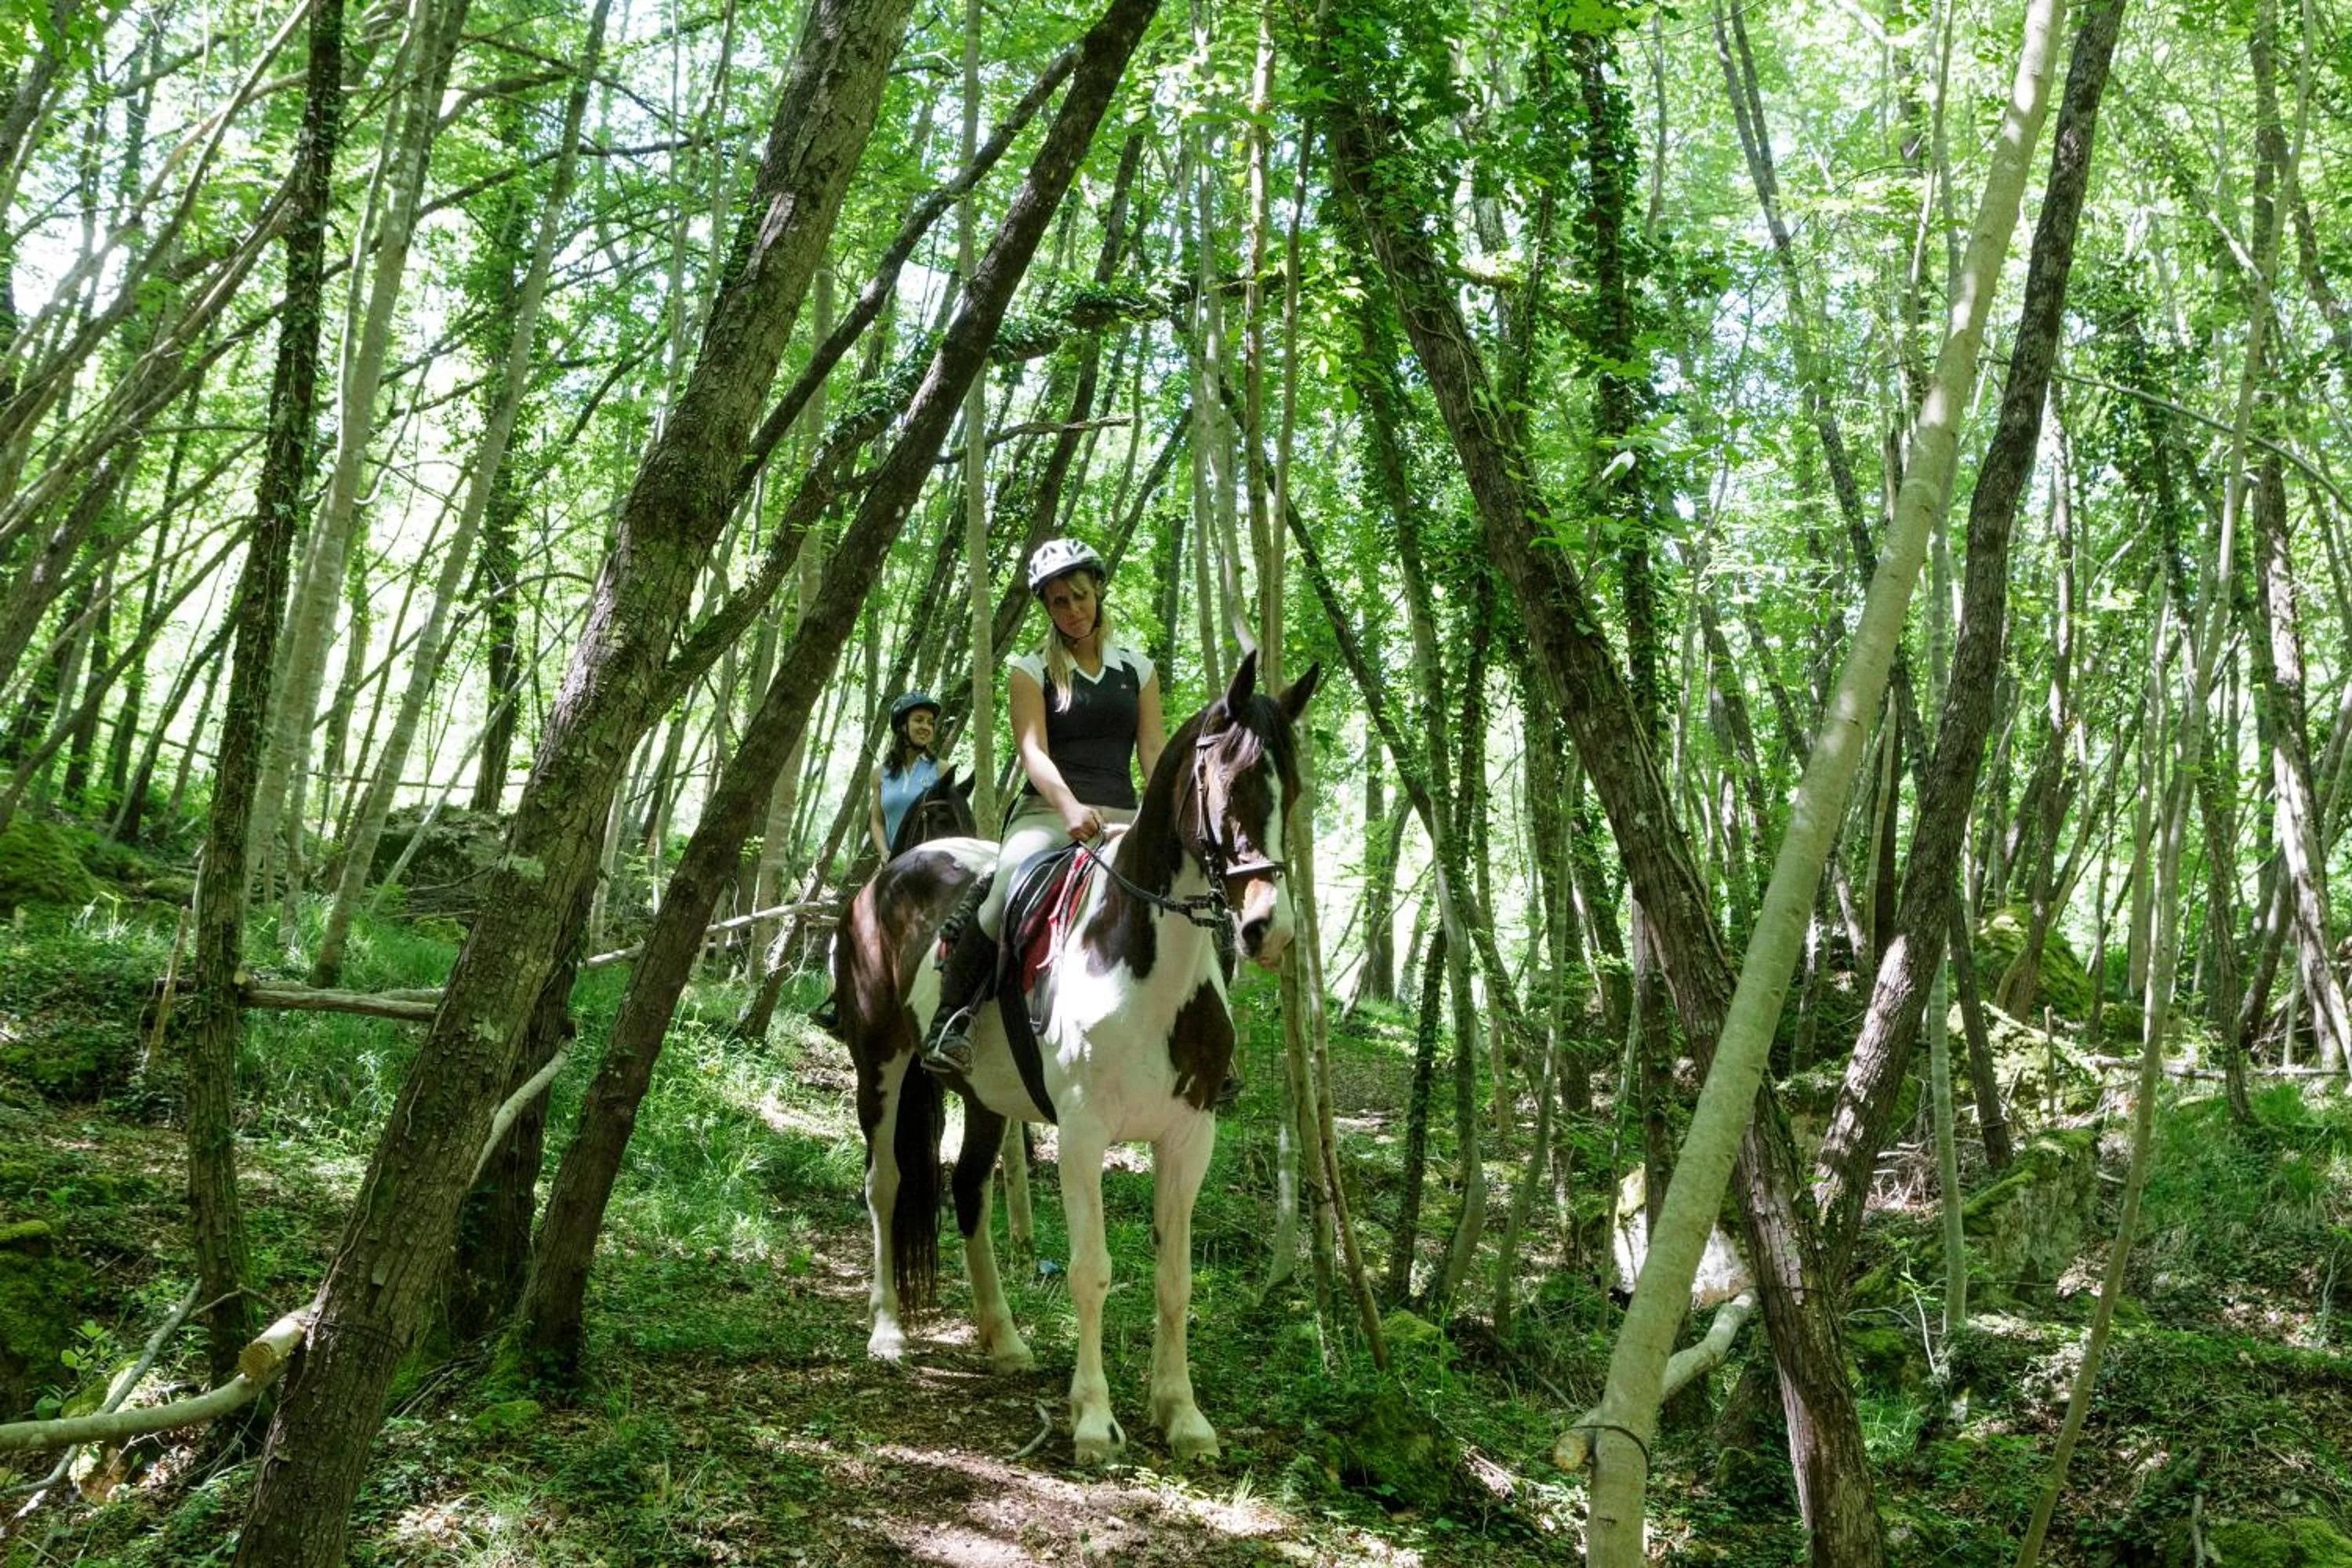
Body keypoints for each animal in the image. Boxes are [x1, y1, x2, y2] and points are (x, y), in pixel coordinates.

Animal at [833, 651, 1319, 1463]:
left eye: (1296, 788)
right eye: (1232, 778)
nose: (1267, 929)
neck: (1144, 959)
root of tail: (890, 876)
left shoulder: (1190, 1135)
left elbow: (1175, 1279)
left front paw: (1183, 1415)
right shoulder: (1085, 1132)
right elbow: (1092, 1272)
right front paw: (1093, 1418)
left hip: (985, 1097)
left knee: (969, 1190)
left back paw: (1003, 1339)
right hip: (881, 1064)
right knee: (887, 1183)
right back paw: (889, 1330)